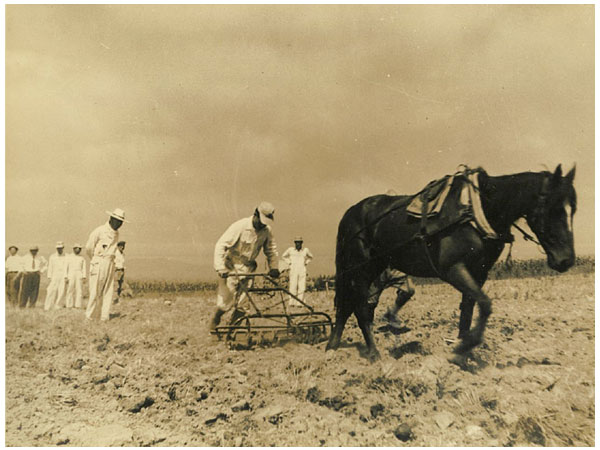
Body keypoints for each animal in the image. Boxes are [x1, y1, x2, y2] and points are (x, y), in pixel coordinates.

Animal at [326, 165, 580, 362]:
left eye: (573, 210)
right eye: (554, 209)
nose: (566, 260)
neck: (477, 211)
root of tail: (350, 213)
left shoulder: (479, 273)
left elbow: (468, 311)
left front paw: (463, 353)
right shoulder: (453, 269)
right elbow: (485, 304)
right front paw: (466, 345)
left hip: (373, 267)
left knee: (349, 306)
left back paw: (332, 347)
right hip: (360, 268)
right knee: (360, 307)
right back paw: (373, 352)